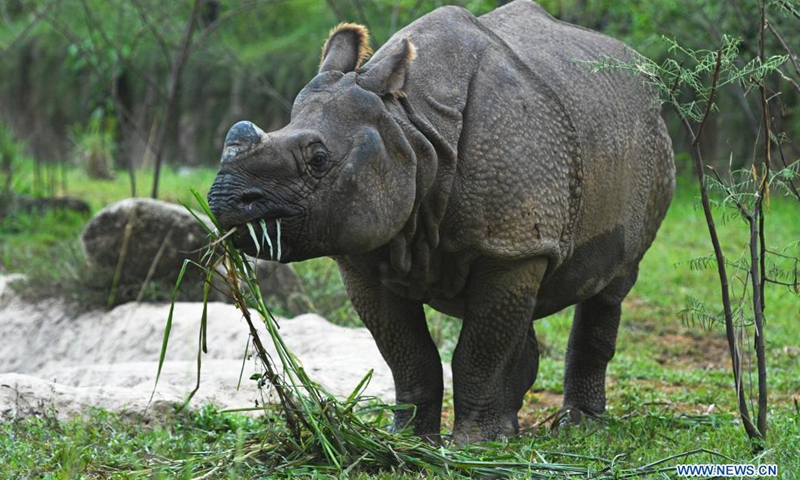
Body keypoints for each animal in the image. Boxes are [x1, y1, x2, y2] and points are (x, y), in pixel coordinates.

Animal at [208, 0, 675, 443]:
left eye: (318, 160)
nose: (224, 199)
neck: (413, 127)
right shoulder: (366, 249)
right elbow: (409, 355)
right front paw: (410, 439)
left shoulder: (510, 245)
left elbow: (477, 351)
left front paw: (474, 444)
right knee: (521, 310)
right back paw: (513, 426)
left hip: (647, 140)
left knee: (612, 284)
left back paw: (578, 424)